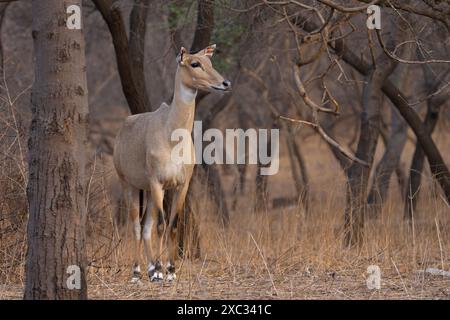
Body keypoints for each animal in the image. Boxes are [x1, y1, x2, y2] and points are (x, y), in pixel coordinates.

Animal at [112, 44, 232, 280]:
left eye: (210, 62)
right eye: (194, 63)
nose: (225, 83)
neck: (172, 135)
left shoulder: (180, 185)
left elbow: (173, 225)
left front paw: (170, 270)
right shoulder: (158, 182)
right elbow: (161, 225)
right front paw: (161, 271)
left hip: (148, 191)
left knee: (146, 225)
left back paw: (151, 268)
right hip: (129, 185)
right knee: (137, 225)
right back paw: (138, 272)